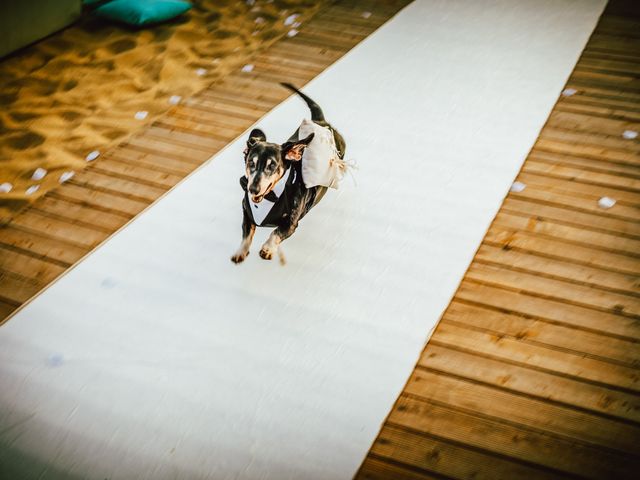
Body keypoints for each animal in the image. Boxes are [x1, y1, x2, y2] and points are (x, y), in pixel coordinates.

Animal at [231, 81, 344, 262]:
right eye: (251, 163)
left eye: (272, 166)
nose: (253, 189)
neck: (268, 198)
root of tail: (320, 122)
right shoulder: (246, 212)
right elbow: (246, 234)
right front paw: (240, 251)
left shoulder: (291, 223)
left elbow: (276, 233)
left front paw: (267, 249)